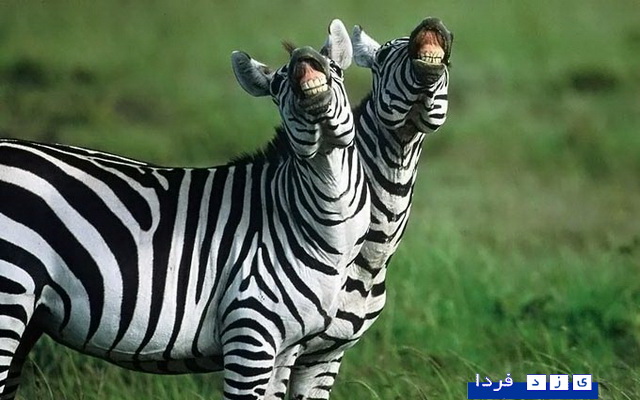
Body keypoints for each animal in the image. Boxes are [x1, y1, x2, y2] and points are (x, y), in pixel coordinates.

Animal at [0, 19, 369, 400]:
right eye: (277, 86)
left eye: (337, 69)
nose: (304, 59)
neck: (318, 224)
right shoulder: (249, 331)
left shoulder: (288, 349)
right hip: (9, 293)